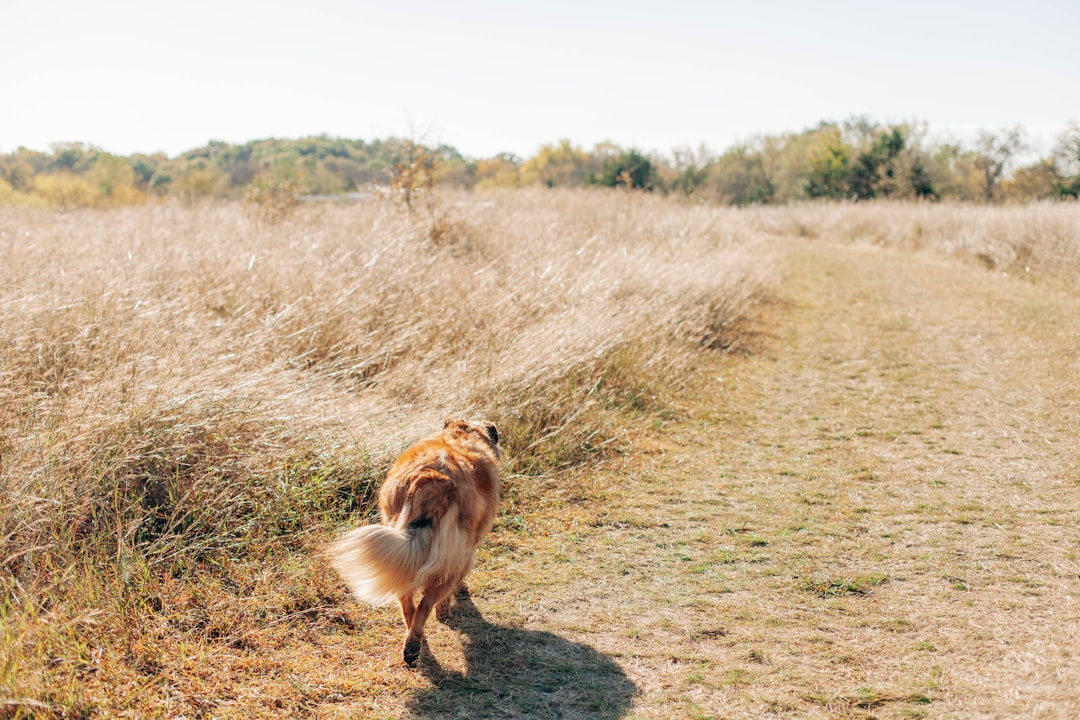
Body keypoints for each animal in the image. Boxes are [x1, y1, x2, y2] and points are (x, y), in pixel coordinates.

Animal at [324, 418, 501, 669]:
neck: (460, 436)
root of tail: (430, 478)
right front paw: (451, 604)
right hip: (449, 555)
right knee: (426, 603)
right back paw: (415, 643)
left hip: (400, 550)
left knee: (407, 602)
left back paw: (412, 644)